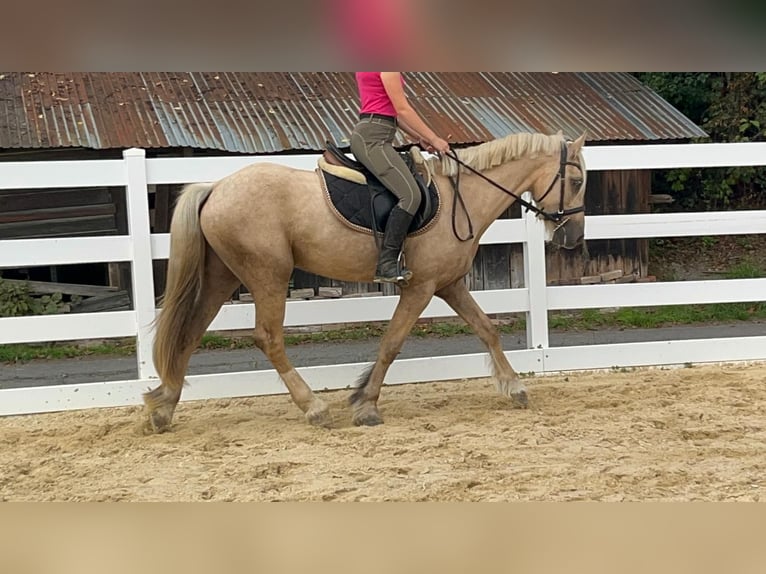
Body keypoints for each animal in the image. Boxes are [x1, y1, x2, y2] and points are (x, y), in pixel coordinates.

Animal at [143, 131, 588, 433]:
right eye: (578, 181)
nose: (574, 236)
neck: (462, 198)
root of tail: (216, 187)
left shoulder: (449, 284)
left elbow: (486, 330)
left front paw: (514, 387)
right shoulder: (420, 287)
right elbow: (392, 343)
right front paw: (366, 405)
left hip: (222, 276)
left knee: (189, 332)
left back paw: (163, 407)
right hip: (267, 275)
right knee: (267, 338)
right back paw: (314, 408)